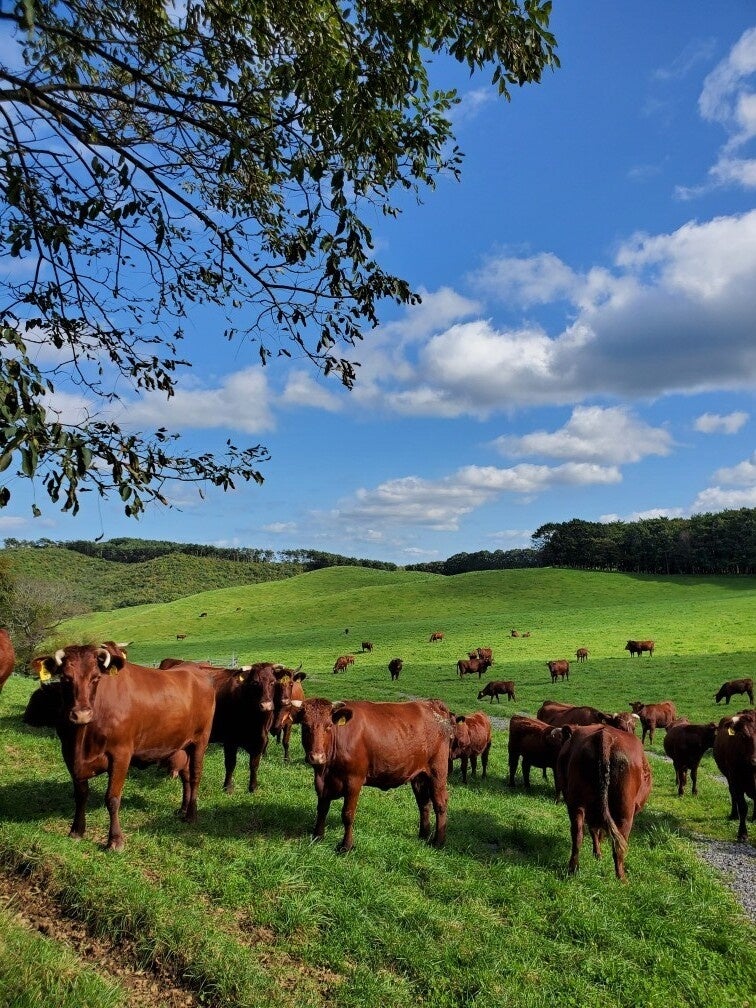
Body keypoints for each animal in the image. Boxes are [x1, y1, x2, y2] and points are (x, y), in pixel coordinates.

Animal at [31, 645, 215, 850]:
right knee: (186, 777)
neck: (82, 740)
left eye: (96, 678)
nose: (81, 714)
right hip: (182, 745)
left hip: (200, 741)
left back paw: (191, 815)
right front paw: (77, 830)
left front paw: (115, 840)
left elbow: (112, 798)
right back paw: (183, 809)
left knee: (196, 777)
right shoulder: (69, 754)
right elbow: (80, 795)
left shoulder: (121, 755)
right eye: (65, 678)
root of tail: (194, 668)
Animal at [292, 701, 453, 850]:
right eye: (305, 726)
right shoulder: (323, 783)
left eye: (329, 726)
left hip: (437, 771)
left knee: (440, 803)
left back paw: (438, 841)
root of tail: (430, 703)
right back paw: (423, 835)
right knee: (424, 803)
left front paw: (346, 846)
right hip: (419, 776)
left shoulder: (354, 781)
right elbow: (322, 809)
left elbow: (347, 814)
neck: (326, 769)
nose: (317, 757)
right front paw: (317, 837)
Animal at [552, 725, 653, 883]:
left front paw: (597, 854)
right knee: (618, 845)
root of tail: (605, 735)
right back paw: (622, 879)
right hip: (625, 813)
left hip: (576, 804)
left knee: (577, 834)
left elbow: (594, 830)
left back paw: (572, 869)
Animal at [713, 709, 756, 842]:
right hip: (729, 777)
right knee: (733, 794)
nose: (755, 761)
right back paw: (734, 815)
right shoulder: (736, 780)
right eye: (743, 736)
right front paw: (742, 833)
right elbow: (743, 807)